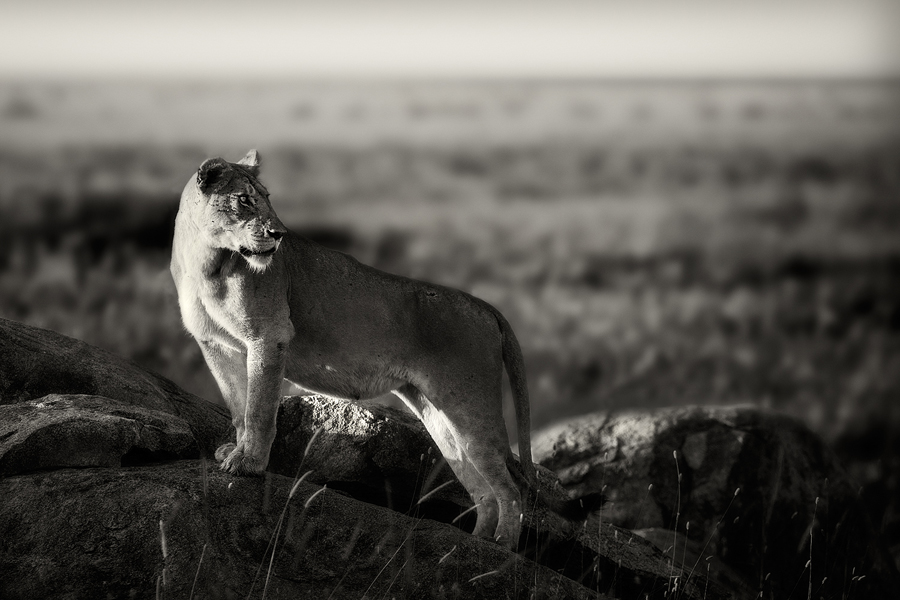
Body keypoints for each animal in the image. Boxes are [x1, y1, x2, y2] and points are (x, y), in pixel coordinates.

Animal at [170, 150, 592, 549]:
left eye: (267, 199)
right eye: (243, 199)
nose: (279, 233)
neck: (206, 263)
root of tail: (486, 307)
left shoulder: (270, 334)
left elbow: (258, 409)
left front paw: (249, 464)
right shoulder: (216, 346)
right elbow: (238, 405)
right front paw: (235, 452)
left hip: (472, 405)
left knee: (509, 485)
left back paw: (503, 545)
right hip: (441, 415)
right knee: (480, 487)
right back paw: (477, 541)